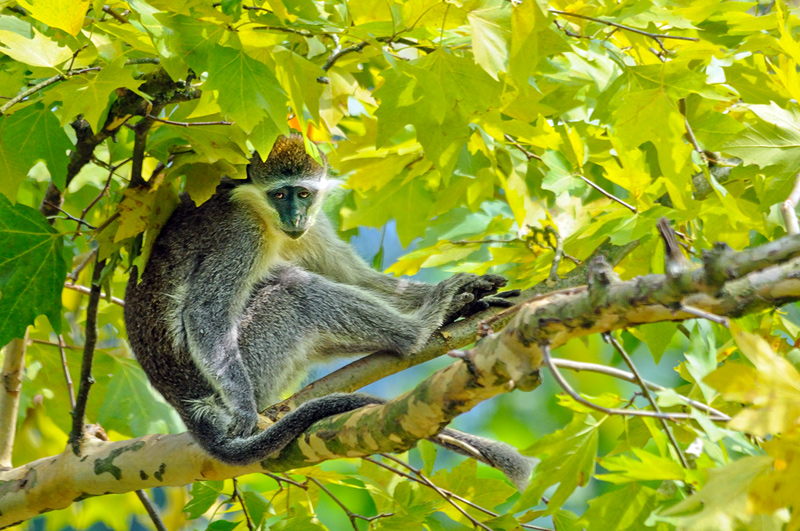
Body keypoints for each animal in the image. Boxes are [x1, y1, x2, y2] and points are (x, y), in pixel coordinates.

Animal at [124, 135, 534, 490]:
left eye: (303, 194)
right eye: (279, 194)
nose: (294, 217)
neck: (262, 214)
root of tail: (187, 404)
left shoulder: (313, 223)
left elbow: (356, 277)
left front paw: (471, 299)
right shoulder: (241, 234)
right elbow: (204, 311)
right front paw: (242, 407)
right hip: (255, 367)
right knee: (293, 290)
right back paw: (417, 330)